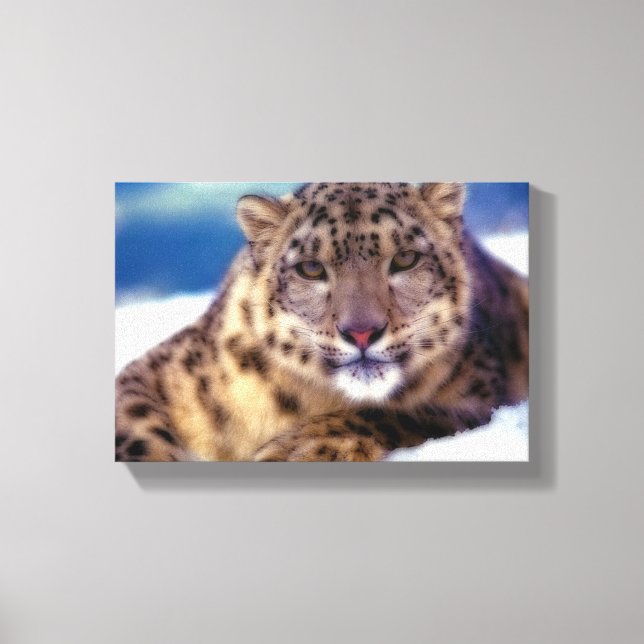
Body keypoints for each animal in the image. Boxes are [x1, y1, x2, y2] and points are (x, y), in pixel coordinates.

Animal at [115, 182, 528, 462]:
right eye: (311, 268)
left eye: (406, 259)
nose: (361, 332)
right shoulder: (158, 373)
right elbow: (135, 428)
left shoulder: (479, 399)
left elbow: (395, 413)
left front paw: (292, 450)